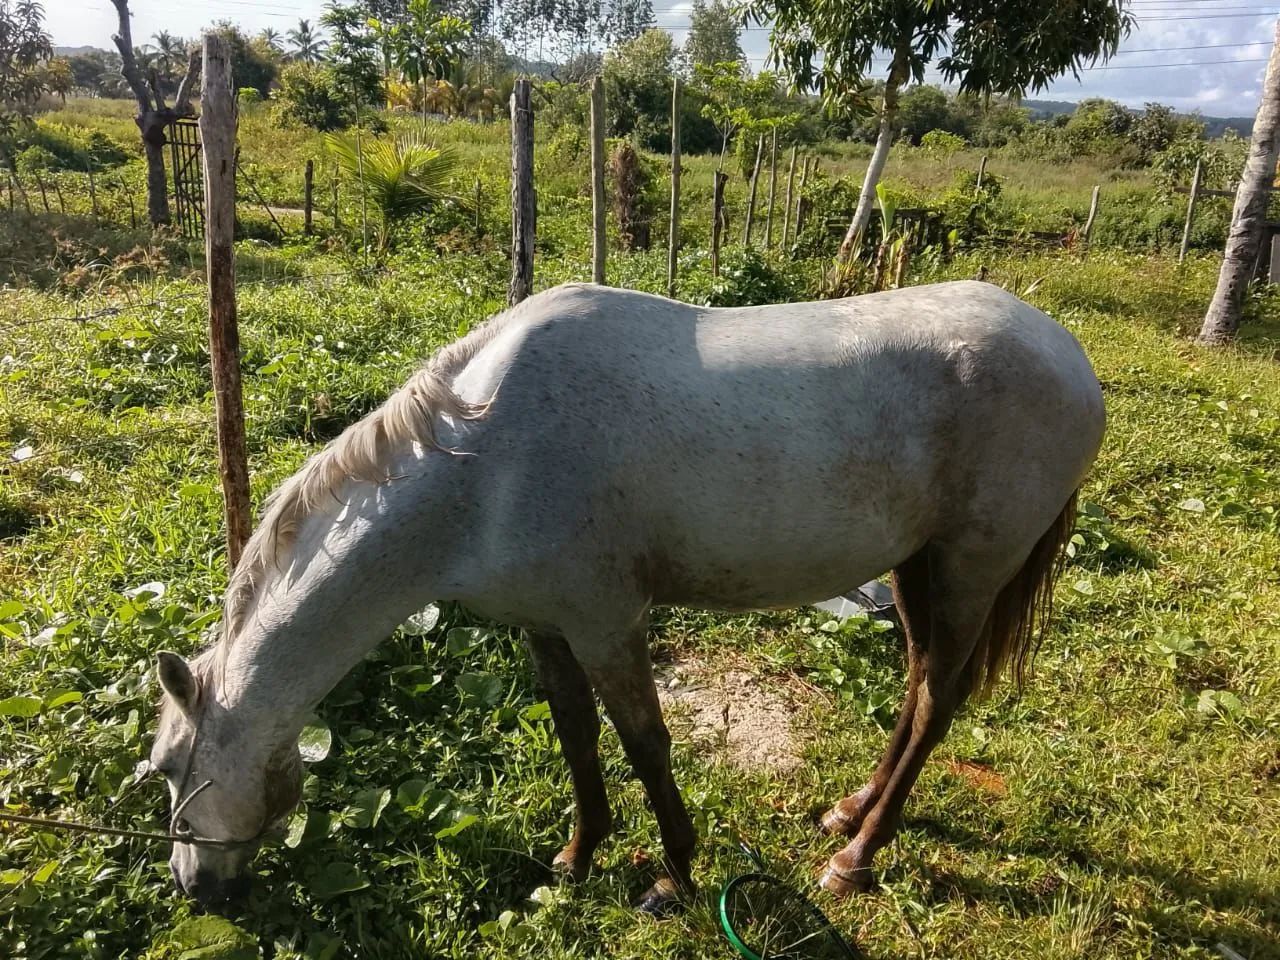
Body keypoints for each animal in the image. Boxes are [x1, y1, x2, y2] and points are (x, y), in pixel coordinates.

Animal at [150, 280, 1105, 914]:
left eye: (165, 767)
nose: (195, 890)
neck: (480, 462)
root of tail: (1068, 356)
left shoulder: (609, 623)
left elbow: (645, 744)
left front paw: (675, 875)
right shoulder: (546, 626)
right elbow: (578, 735)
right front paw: (579, 857)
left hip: (971, 566)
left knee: (939, 698)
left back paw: (859, 858)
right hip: (916, 566)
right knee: (914, 685)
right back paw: (851, 812)